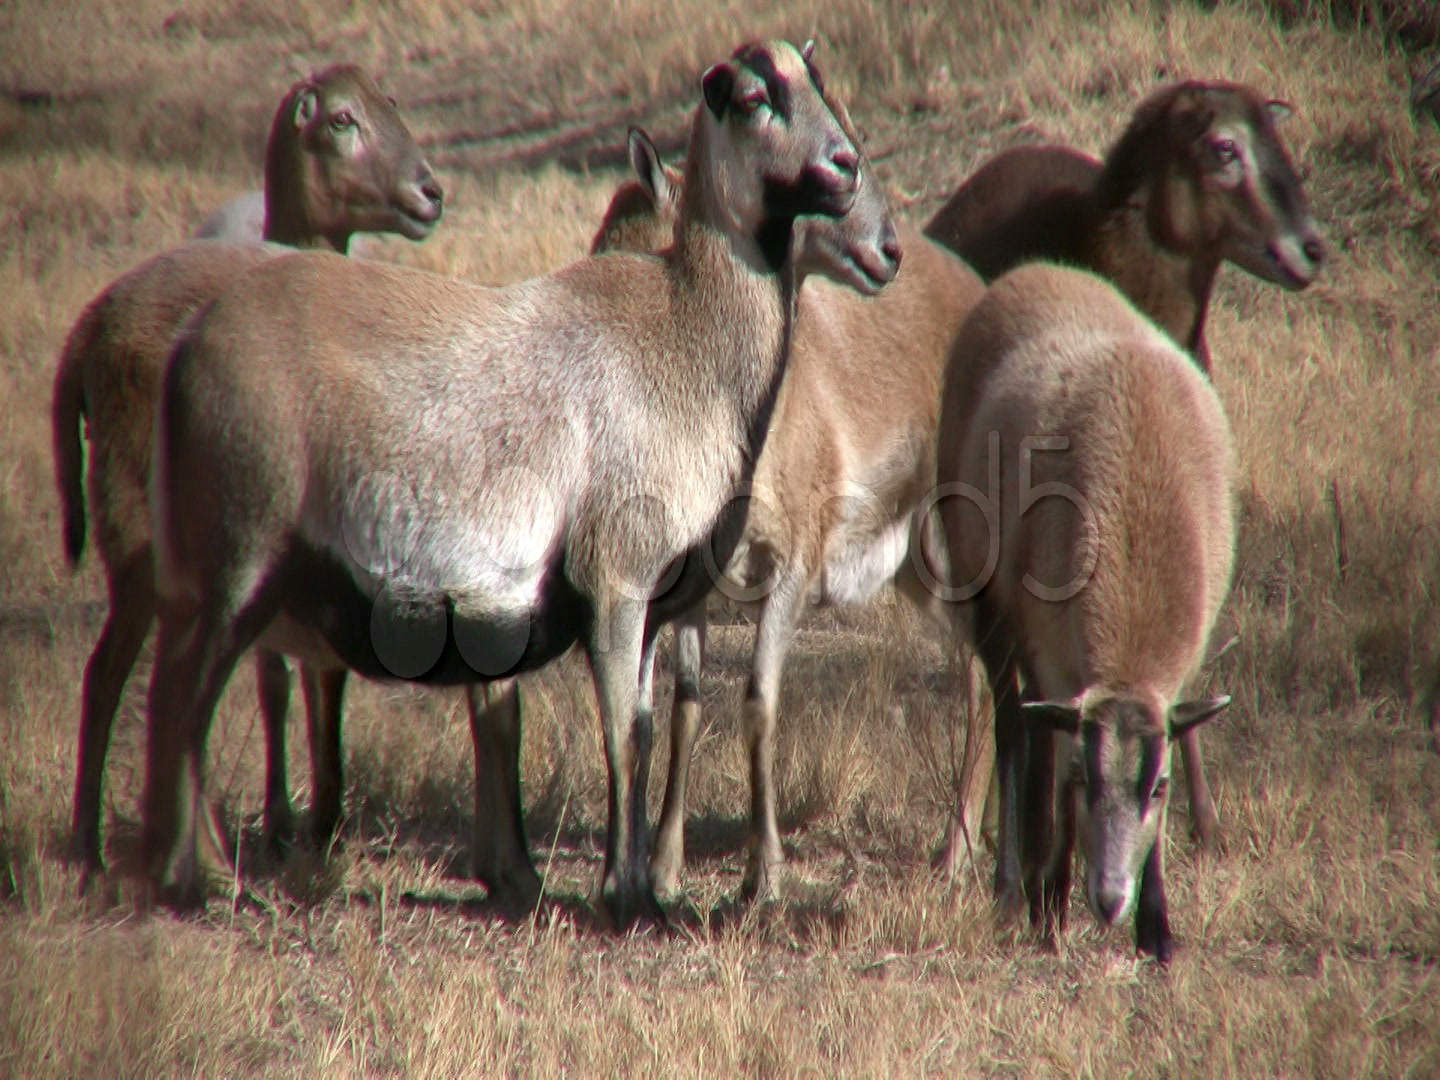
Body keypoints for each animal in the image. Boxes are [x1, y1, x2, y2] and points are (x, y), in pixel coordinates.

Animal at [51, 62, 443, 881]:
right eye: (343, 120)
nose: (431, 191)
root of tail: (90, 327)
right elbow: (285, 678)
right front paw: (299, 823)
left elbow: (305, 677)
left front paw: (308, 822)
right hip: (140, 531)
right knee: (113, 679)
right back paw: (98, 850)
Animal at [139, 40, 901, 924]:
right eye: (752, 98)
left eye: (820, 91)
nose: (845, 171)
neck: (688, 337)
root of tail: (190, 348)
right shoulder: (615, 577)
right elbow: (621, 734)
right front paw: (625, 896)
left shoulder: (651, 604)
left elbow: (641, 726)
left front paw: (635, 886)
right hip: (238, 554)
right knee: (181, 700)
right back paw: (194, 880)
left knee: (177, 698)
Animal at [590, 128, 990, 899]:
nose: (885, 251)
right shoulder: (693, 593)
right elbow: (681, 711)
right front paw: (663, 867)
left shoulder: (790, 577)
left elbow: (758, 701)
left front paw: (763, 875)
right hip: (917, 570)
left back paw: (955, 854)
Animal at [924, 79, 1321, 851]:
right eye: (1223, 148)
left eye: (1279, 139)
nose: (1312, 248)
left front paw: (1205, 821)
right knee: (988, 680)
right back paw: (970, 826)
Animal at [933, 262, 1236, 964]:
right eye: (1086, 781)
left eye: (1158, 788)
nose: (1109, 901)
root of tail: (1036, 270)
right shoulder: (1054, 655)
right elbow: (1048, 761)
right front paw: (1050, 904)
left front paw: (1156, 927)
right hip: (987, 595)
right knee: (1014, 726)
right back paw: (1016, 886)